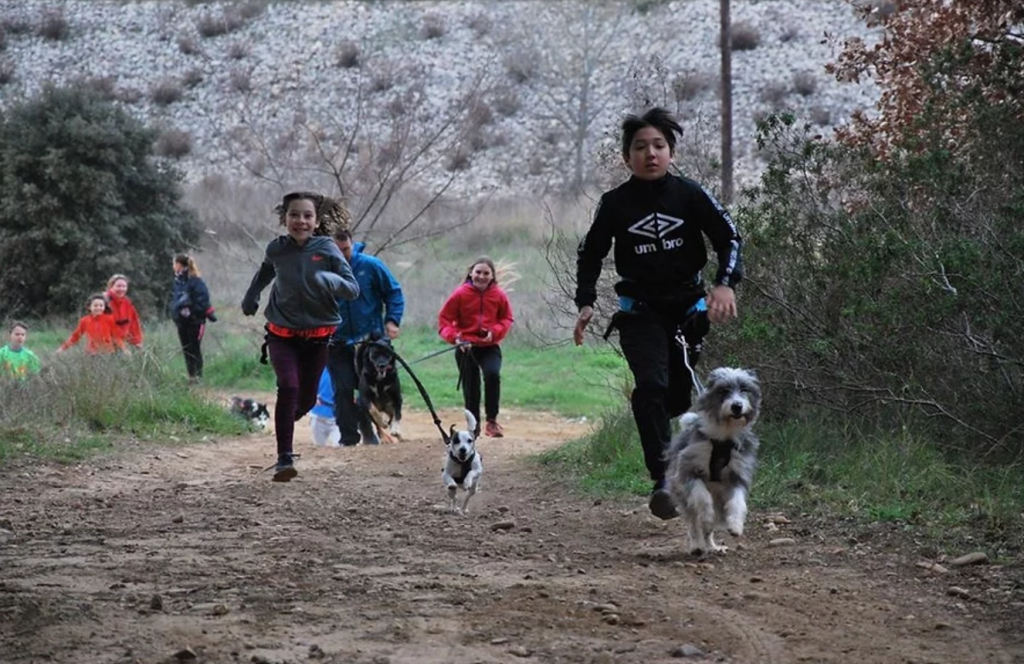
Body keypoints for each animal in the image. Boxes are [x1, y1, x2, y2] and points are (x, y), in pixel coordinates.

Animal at [663, 368, 761, 553]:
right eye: (724, 390)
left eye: (744, 389)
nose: (737, 406)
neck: (724, 436)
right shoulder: (689, 468)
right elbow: (702, 496)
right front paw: (707, 516)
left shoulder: (738, 473)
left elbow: (738, 501)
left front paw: (736, 525)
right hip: (684, 497)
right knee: (694, 522)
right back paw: (697, 545)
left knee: (709, 530)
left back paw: (712, 546)